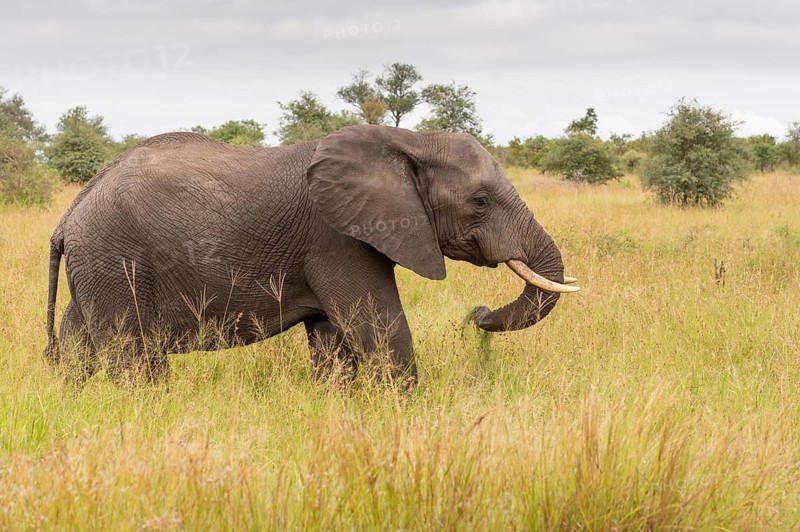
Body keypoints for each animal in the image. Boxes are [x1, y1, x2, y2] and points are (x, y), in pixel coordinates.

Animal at [44, 124, 579, 385]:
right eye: (480, 202)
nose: (480, 315)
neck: (406, 141)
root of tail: (70, 215)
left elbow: (333, 342)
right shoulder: (335, 238)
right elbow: (380, 329)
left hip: (97, 264)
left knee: (78, 346)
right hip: (117, 259)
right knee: (133, 355)